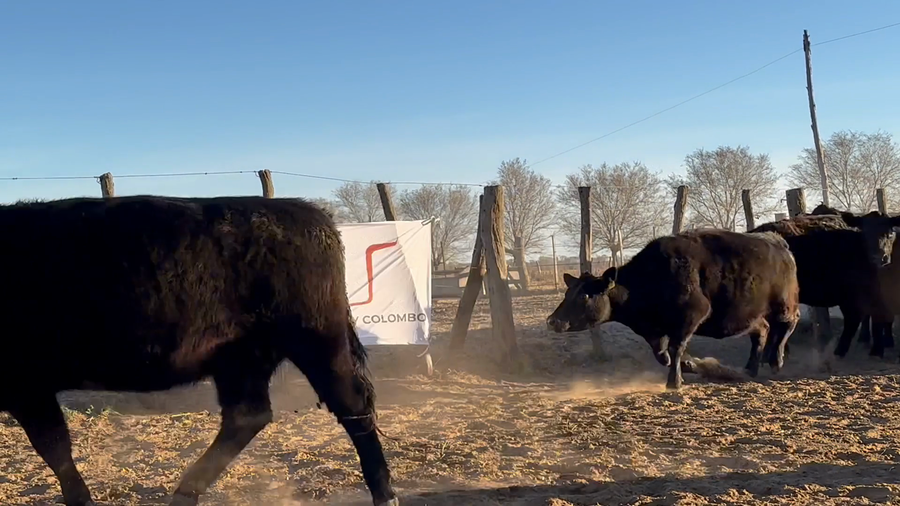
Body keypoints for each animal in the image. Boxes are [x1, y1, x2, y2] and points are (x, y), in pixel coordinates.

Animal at [0, 196, 399, 506]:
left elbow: (54, 447)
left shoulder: (28, 387)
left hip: (316, 341)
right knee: (246, 416)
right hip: (243, 358)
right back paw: (185, 492)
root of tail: (308, 212)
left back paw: (385, 493)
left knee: (352, 406)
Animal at [546, 229, 801, 390]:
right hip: (748, 315)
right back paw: (749, 369)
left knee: (788, 322)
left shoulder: (692, 315)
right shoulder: (653, 330)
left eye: (585, 295)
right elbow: (662, 354)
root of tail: (777, 242)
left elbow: (676, 348)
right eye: (568, 293)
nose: (552, 321)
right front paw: (687, 366)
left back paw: (776, 360)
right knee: (762, 330)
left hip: (784, 304)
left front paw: (674, 382)